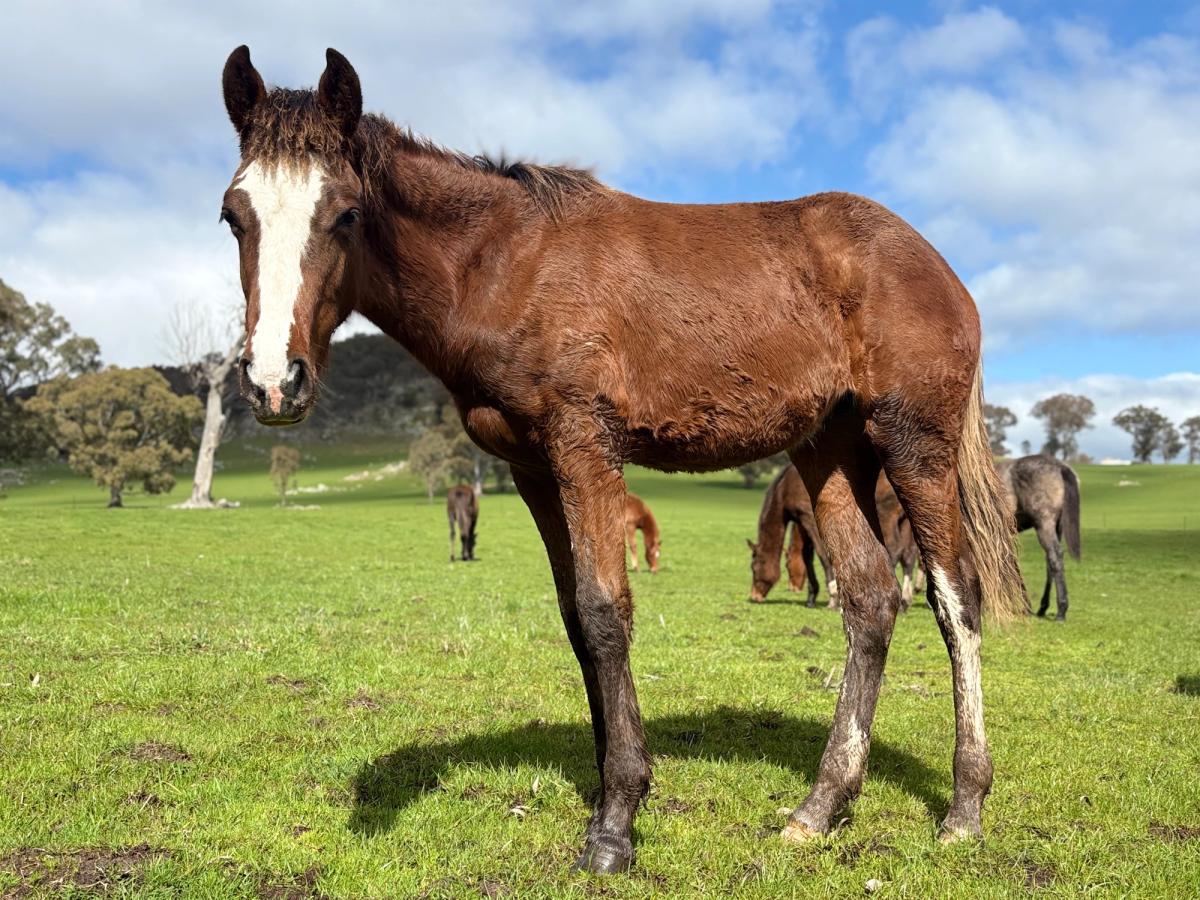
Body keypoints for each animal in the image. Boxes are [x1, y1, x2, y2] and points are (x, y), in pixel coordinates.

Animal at [220, 47, 1025, 875]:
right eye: (233, 216)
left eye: (345, 213)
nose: (275, 382)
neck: (505, 264)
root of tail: (936, 265)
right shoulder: (534, 470)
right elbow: (577, 618)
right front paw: (611, 784)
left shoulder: (586, 448)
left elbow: (608, 613)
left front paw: (615, 822)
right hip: (829, 452)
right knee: (869, 600)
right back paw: (821, 807)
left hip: (912, 446)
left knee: (955, 600)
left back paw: (964, 808)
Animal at [996, 454, 1081, 621]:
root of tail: (1060, 467)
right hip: (1057, 526)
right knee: (1050, 562)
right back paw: (1043, 607)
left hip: (1044, 524)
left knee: (1054, 557)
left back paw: (1061, 610)